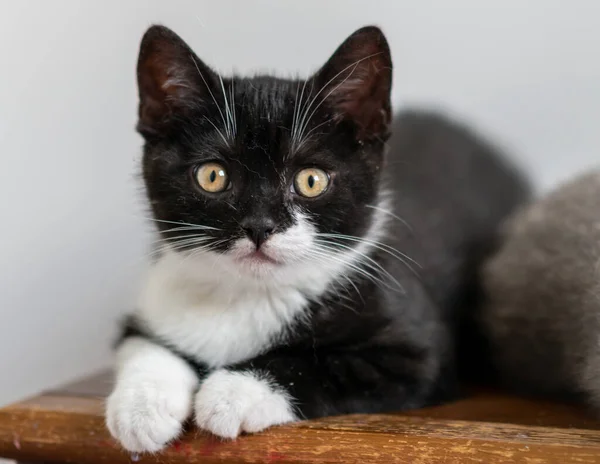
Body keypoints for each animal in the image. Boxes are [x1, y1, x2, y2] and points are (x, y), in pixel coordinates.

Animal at [105, 23, 528, 452]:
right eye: (212, 176)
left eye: (311, 181)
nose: (260, 226)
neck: (247, 296)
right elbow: (141, 344)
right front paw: (140, 411)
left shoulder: (419, 353)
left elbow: (316, 365)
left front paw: (232, 393)